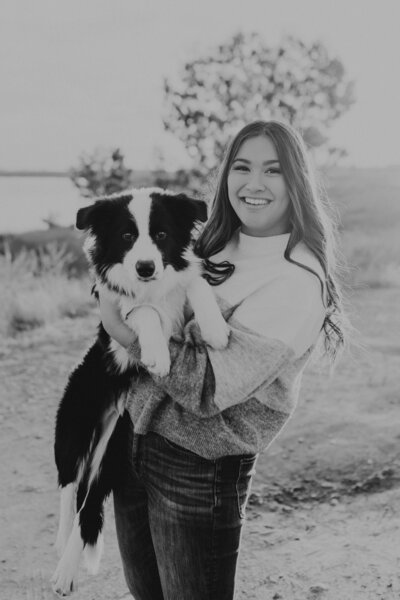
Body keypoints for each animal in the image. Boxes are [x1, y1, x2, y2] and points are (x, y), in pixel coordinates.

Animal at [51, 188, 230, 596]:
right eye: (127, 236)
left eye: (162, 234)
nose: (146, 267)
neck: (152, 287)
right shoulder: (119, 321)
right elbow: (143, 311)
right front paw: (157, 355)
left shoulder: (180, 286)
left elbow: (195, 282)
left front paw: (214, 327)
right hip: (74, 424)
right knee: (69, 489)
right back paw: (61, 560)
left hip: (115, 445)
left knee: (89, 503)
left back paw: (67, 568)